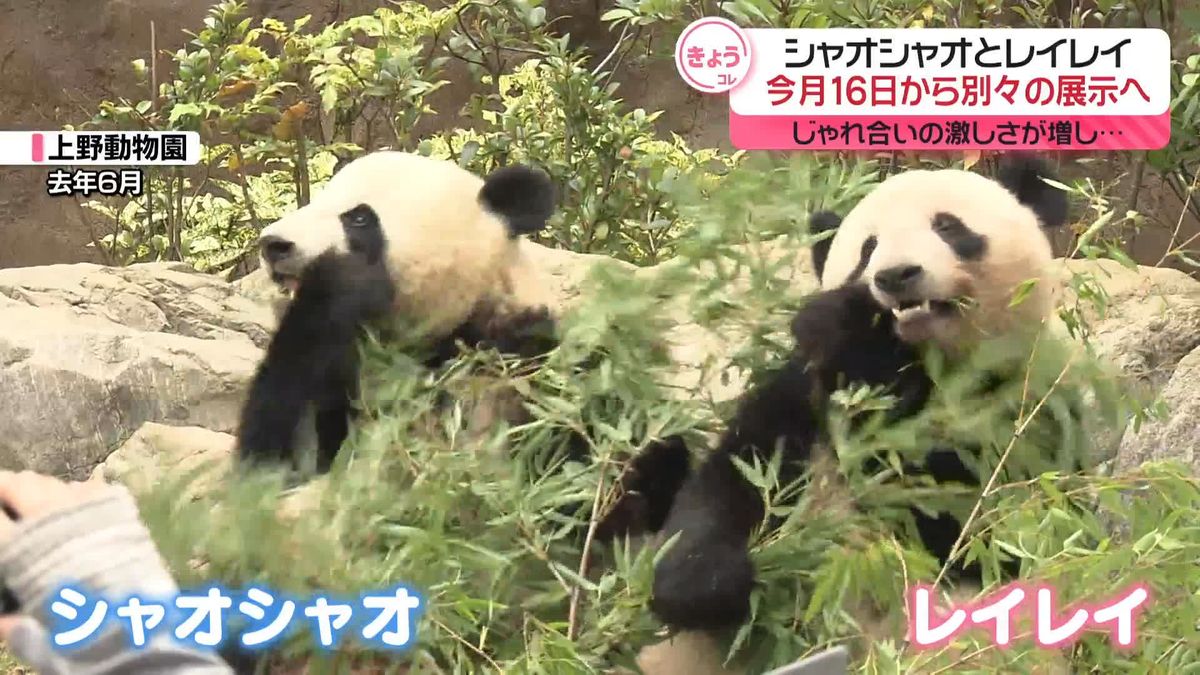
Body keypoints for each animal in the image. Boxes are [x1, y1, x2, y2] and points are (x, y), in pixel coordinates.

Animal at [648, 152, 1080, 629]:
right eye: (868, 248)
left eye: (947, 226)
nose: (895, 276)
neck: (929, 360)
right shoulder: (802, 395)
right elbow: (740, 472)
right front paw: (708, 580)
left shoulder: (1025, 401)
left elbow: (957, 513)